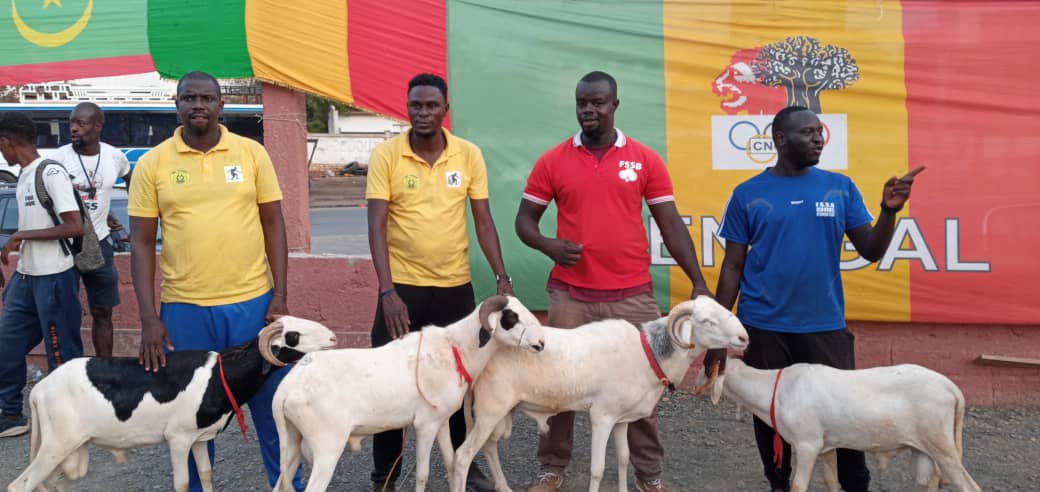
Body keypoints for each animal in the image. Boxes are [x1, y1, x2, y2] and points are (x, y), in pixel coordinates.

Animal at [5, 314, 336, 490]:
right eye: (293, 336)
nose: (333, 338)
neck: (219, 376)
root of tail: (39, 389)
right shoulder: (178, 439)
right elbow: (182, 483)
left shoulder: (200, 438)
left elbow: (205, 474)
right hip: (57, 444)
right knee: (21, 485)